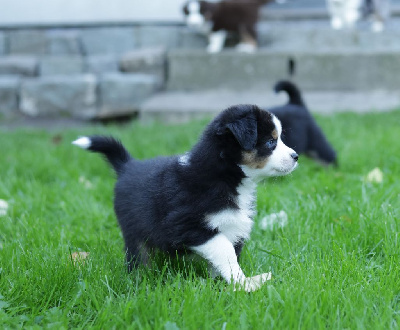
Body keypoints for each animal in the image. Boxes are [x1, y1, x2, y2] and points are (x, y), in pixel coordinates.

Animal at [72, 105, 296, 292]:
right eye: (271, 142)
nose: (296, 156)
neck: (226, 177)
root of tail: (128, 165)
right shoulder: (187, 225)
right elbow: (225, 251)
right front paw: (244, 283)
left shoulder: (234, 227)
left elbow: (228, 256)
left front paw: (223, 284)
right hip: (134, 231)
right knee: (137, 257)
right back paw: (140, 280)